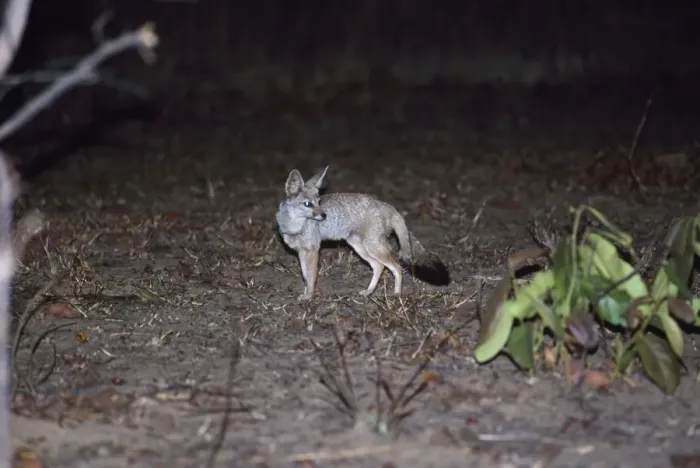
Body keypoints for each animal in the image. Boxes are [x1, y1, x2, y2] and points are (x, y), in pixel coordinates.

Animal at [276, 166, 450, 301]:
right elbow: (305, 275)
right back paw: (369, 291)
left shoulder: (312, 250)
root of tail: (384, 204)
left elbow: (310, 277)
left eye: (319, 202)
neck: (295, 227)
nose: (324, 216)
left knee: (397, 267)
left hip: (372, 247)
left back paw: (396, 293)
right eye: (307, 204)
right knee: (379, 266)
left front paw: (309, 296)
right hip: (360, 247)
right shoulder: (301, 252)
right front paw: (306, 293)